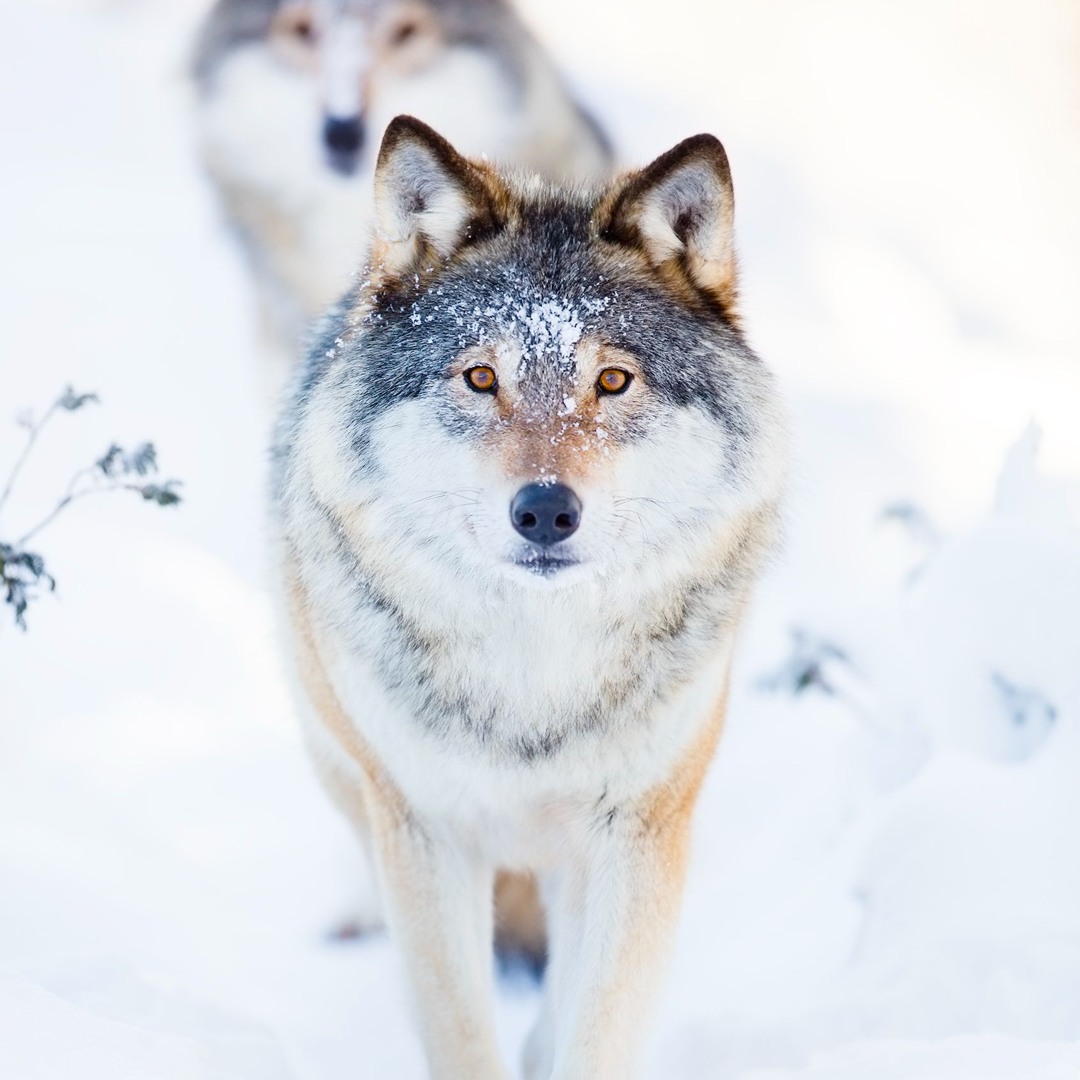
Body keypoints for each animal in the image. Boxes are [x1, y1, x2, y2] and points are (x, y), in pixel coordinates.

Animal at [272, 113, 786, 1077]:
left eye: (613, 380)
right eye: (481, 378)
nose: (546, 510)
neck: (536, 677)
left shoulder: (638, 833)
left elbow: (595, 1025)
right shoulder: (425, 833)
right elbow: (459, 1030)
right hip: (341, 760)